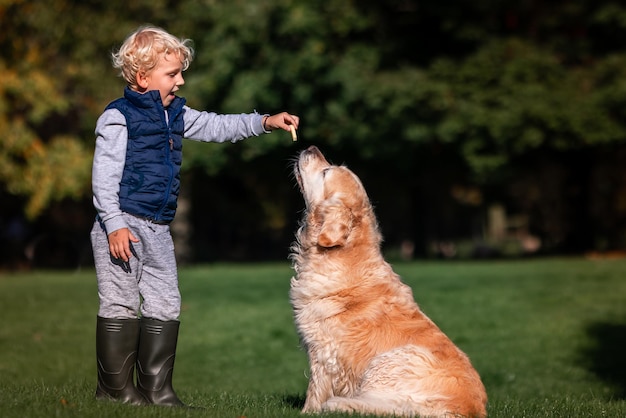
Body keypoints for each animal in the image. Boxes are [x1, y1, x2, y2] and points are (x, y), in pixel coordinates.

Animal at [288, 145, 488, 416]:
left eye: (326, 172)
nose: (311, 147)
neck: (342, 253)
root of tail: (468, 409)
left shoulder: (323, 351)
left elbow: (315, 389)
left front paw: (307, 412)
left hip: (388, 363)